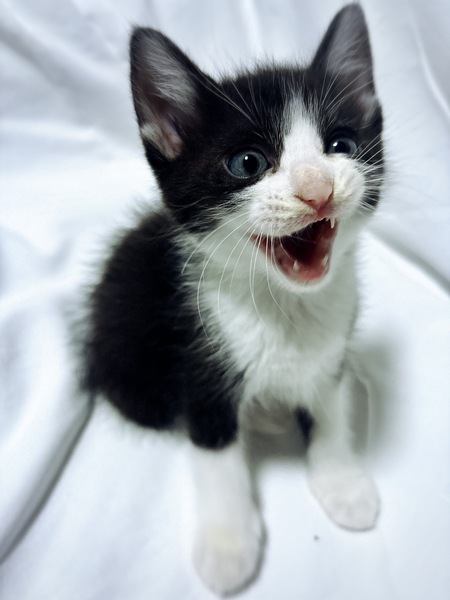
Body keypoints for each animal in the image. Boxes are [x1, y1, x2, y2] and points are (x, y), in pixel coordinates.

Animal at [82, 3, 384, 596]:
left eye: (341, 145)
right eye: (248, 163)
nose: (318, 189)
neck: (284, 305)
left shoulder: (335, 345)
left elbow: (332, 408)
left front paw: (342, 481)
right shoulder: (198, 355)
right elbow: (215, 449)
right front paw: (228, 543)